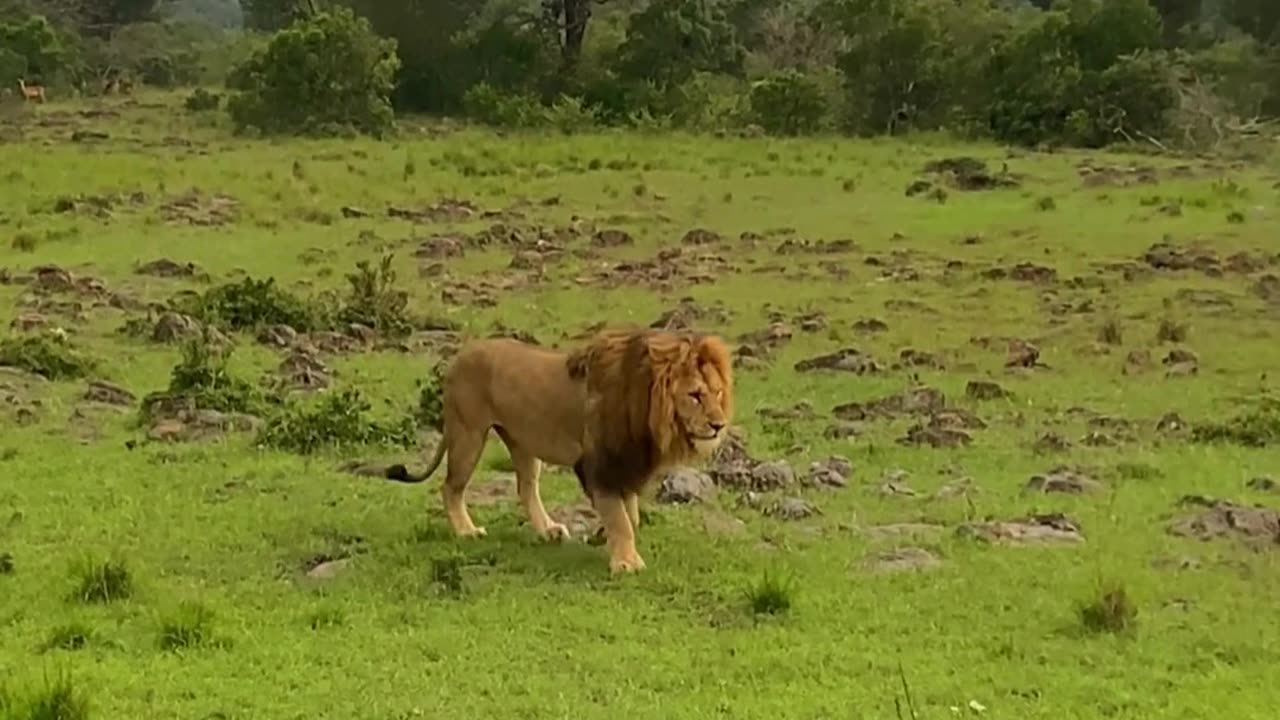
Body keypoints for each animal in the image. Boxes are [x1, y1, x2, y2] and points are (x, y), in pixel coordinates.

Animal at [386, 325, 732, 571]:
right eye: (695, 395)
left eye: (717, 393)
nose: (720, 425)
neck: (647, 413)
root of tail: (459, 357)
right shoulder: (597, 464)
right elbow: (621, 518)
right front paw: (626, 562)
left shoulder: (624, 465)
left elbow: (629, 517)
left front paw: (602, 536)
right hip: (468, 434)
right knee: (450, 487)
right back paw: (466, 532)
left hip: (522, 440)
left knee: (526, 487)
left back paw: (547, 530)